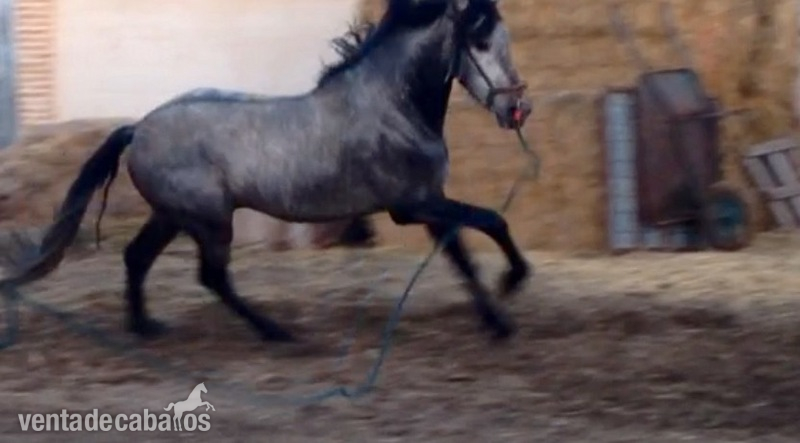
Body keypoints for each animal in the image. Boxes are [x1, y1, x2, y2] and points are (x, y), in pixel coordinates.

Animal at [0, 0, 533, 342]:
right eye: (480, 41)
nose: (518, 110)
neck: (391, 106)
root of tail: (140, 127)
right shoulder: (413, 204)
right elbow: (492, 221)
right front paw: (513, 283)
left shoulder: (428, 203)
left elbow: (462, 257)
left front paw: (498, 321)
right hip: (210, 220)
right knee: (212, 277)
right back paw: (278, 332)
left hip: (172, 216)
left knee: (137, 258)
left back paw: (145, 327)